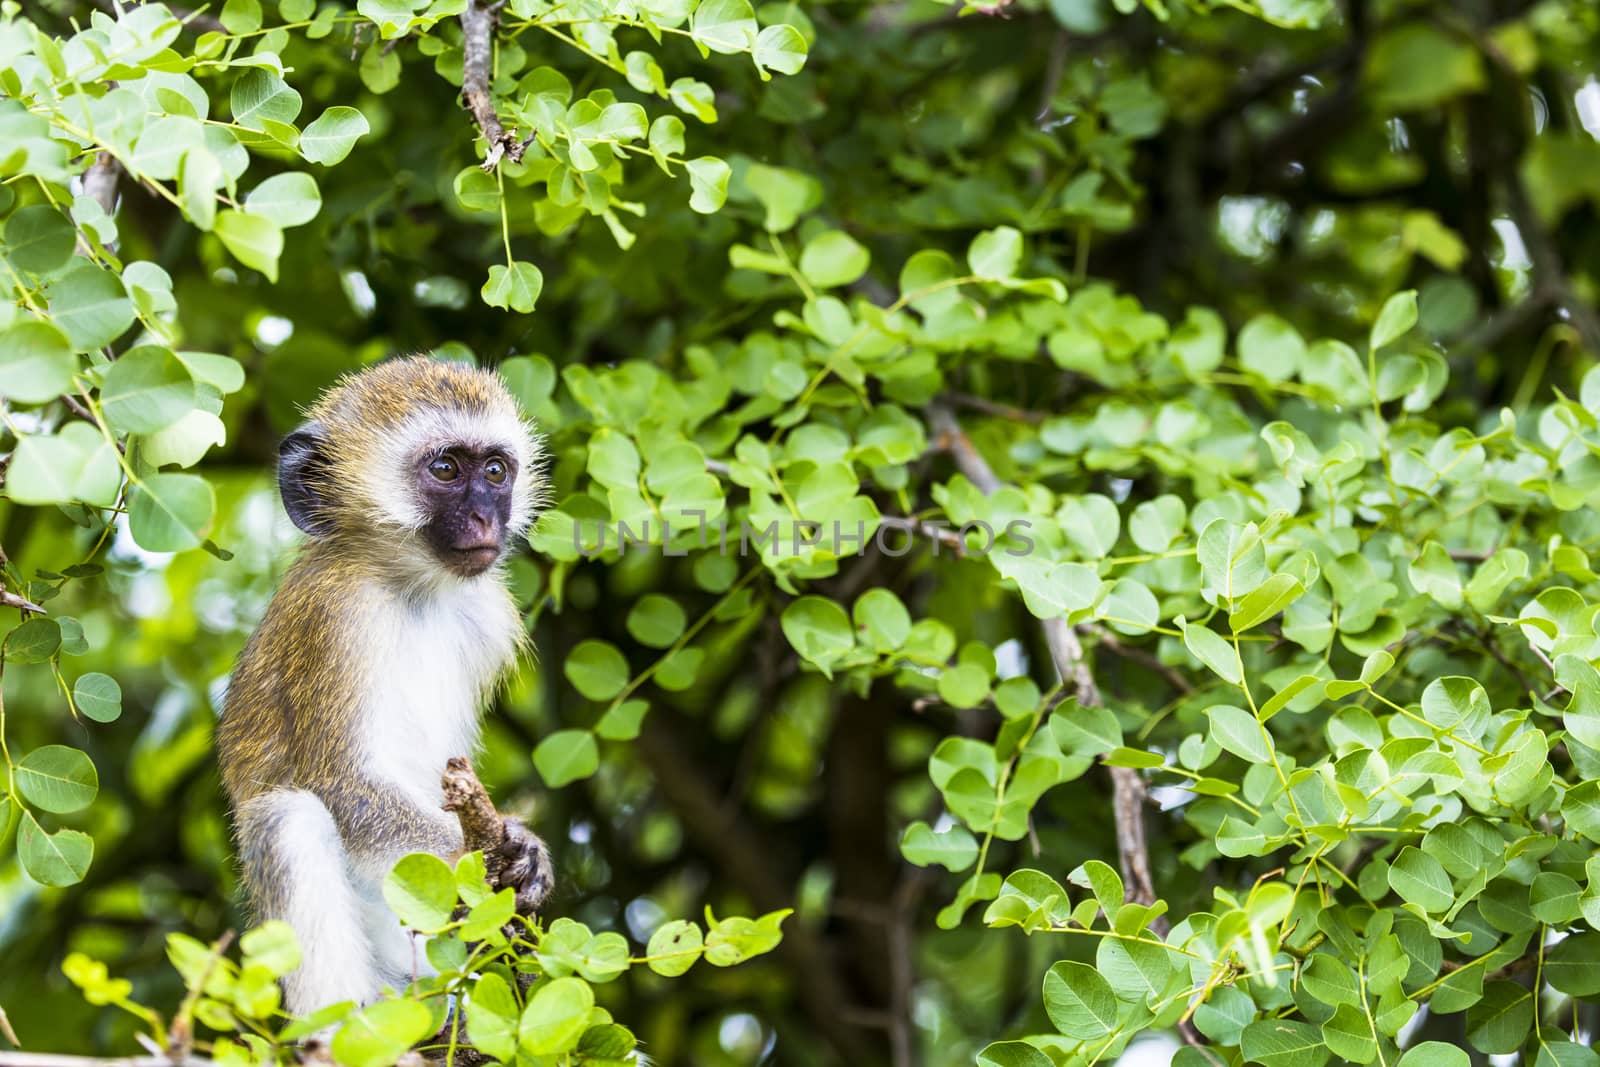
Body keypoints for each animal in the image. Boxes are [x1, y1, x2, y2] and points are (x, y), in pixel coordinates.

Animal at [217, 358, 556, 1017]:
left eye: (495, 471)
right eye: (445, 469)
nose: (486, 519)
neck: (411, 588)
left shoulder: (487, 617)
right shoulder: (332, 617)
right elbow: (342, 787)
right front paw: (486, 856)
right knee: (288, 819)